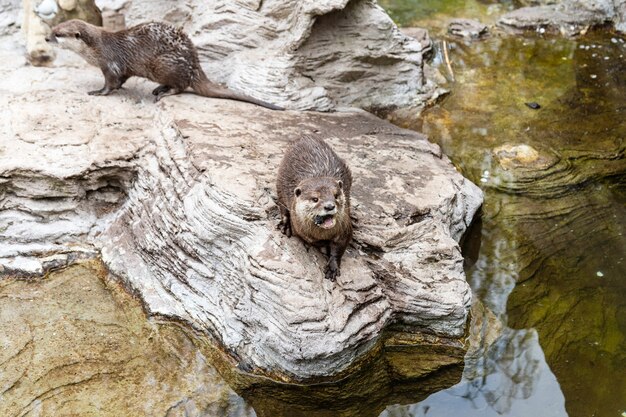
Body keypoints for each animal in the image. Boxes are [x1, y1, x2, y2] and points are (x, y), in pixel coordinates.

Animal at [45, 19, 282, 109]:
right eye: (52, 28)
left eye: (58, 34)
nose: (46, 39)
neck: (98, 47)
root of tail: (194, 63)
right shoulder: (121, 68)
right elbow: (122, 80)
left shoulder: (110, 63)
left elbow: (110, 83)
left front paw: (98, 92)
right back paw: (159, 89)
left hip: (163, 64)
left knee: (181, 86)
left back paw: (164, 92)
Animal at [276, 135, 354, 282]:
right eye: (315, 199)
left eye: (336, 195)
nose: (329, 206)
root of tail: (304, 137)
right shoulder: (302, 231)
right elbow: (316, 243)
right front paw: (324, 248)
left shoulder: (345, 228)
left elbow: (339, 248)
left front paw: (332, 266)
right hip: (279, 183)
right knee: (282, 206)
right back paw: (285, 225)